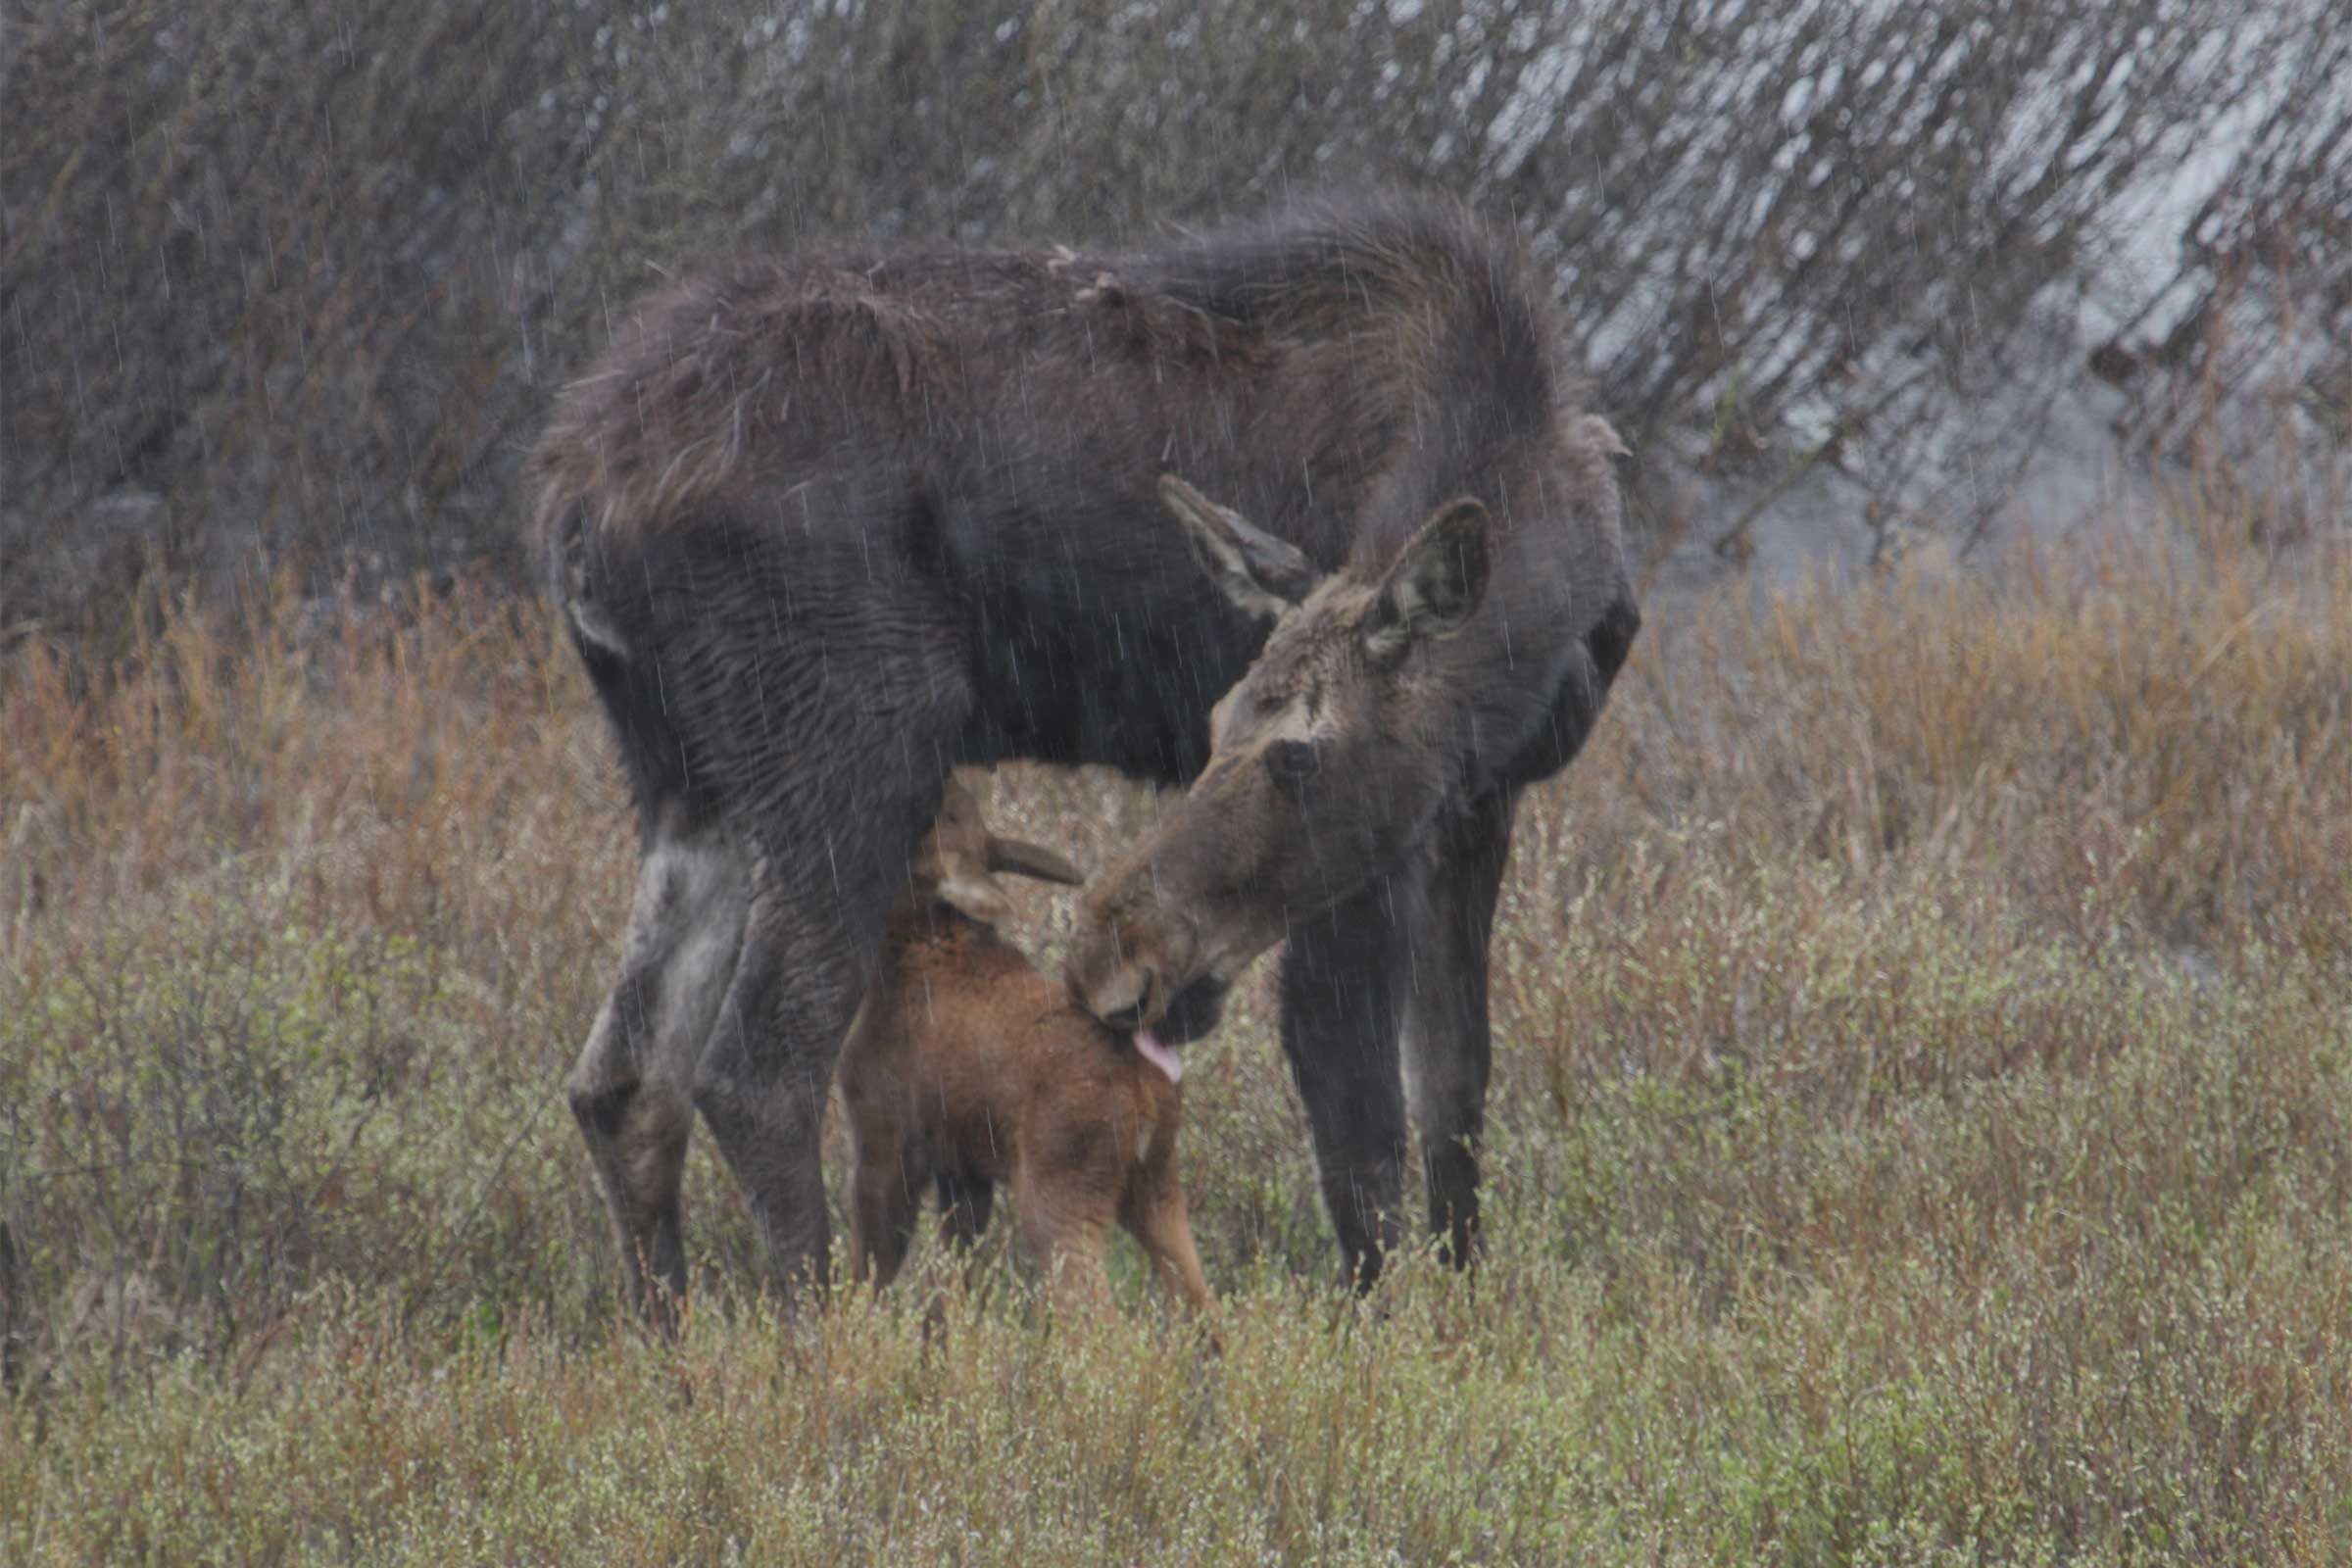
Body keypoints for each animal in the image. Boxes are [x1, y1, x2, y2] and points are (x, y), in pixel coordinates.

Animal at [837, 780, 1213, 1316]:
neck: (903, 954)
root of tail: (1144, 1090)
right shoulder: (964, 1170)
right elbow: (954, 1289)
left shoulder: (881, 1141)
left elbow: (867, 1276)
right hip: (1156, 1185)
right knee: (1203, 1302)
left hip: (1059, 1190)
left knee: (1094, 1313)